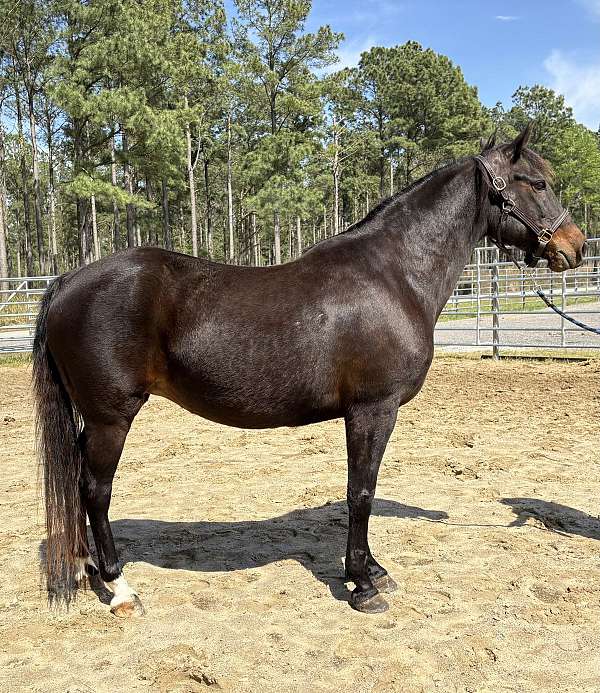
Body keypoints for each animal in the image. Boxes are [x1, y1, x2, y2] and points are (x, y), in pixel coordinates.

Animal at [33, 125, 585, 616]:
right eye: (536, 183)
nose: (575, 246)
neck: (393, 275)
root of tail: (67, 282)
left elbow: (360, 491)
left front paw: (373, 569)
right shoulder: (372, 410)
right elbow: (361, 492)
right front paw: (363, 585)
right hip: (110, 418)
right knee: (95, 491)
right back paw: (120, 588)